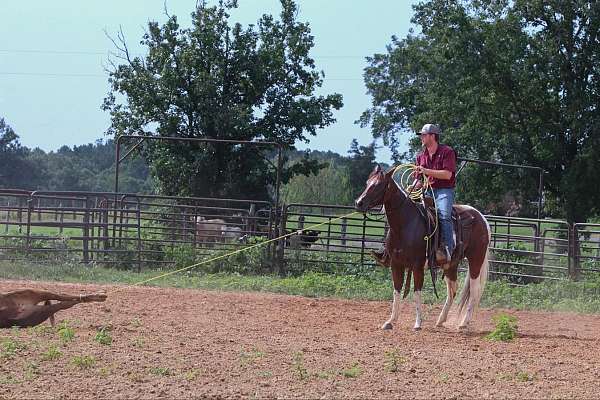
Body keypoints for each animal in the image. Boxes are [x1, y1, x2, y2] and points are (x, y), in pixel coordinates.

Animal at [354, 164, 490, 330]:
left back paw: (464, 323)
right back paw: (440, 320)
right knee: (452, 290)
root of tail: (481, 218)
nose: (359, 203)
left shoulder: (417, 266)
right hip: (451, 264)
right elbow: (397, 291)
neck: (405, 224)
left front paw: (418, 323)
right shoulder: (396, 264)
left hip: (476, 259)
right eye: (367, 182)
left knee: (474, 291)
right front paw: (390, 321)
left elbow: (417, 291)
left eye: (378, 185)